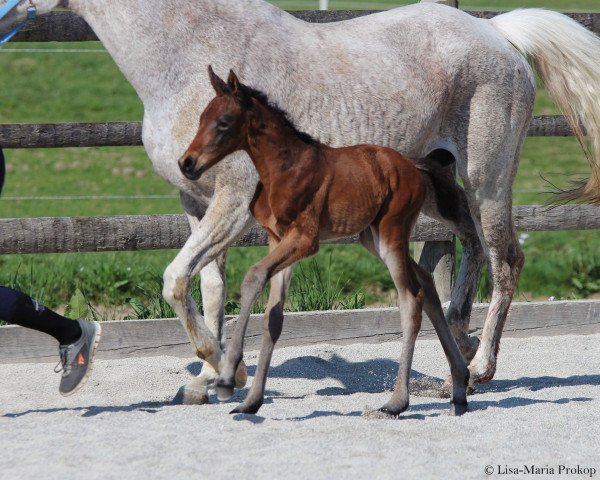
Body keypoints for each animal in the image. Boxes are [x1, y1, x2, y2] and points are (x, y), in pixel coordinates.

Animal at [178, 67, 468, 416]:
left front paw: (226, 379)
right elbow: (274, 317)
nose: (187, 163)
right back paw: (460, 389)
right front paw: (251, 401)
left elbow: (253, 277)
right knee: (425, 282)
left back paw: (397, 402)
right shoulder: (278, 239)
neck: (284, 169)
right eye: (201, 119)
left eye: (223, 122)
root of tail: (413, 165)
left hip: (392, 232)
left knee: (411, 298)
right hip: (371, 237)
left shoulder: (305, 239)